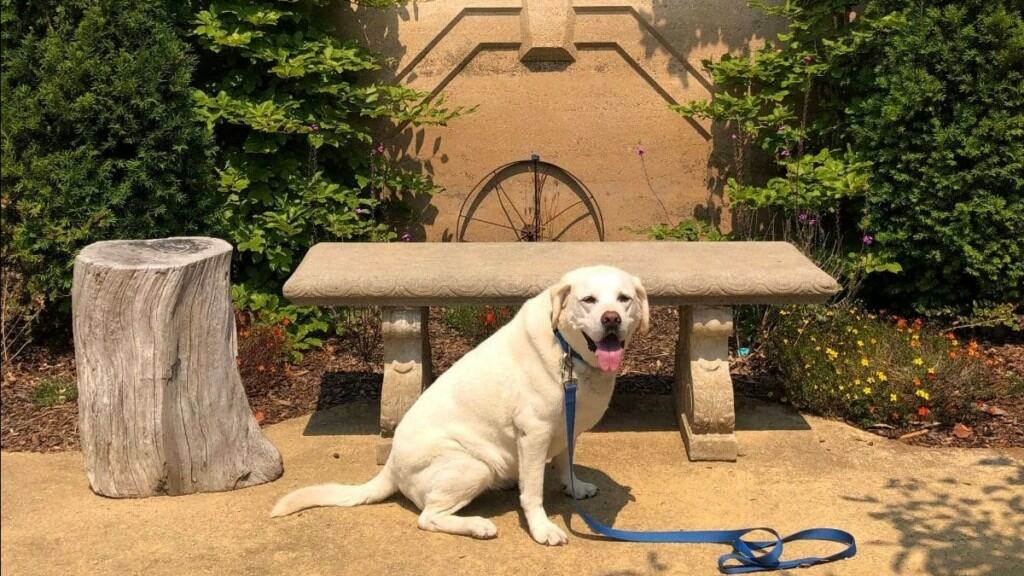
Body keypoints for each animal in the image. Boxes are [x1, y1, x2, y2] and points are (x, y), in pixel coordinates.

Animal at [272, 264, 647, 541]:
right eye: (589, 300)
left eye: (624, 299)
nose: (611, 318)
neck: (568, 353)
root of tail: (390, 467)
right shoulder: (534, 433)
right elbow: (533, 493)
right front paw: (542, 529)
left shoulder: (568, 427)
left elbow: (565, 464)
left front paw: (574, 488)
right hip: (474, 465)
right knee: (428, 517)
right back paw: (477, 525)